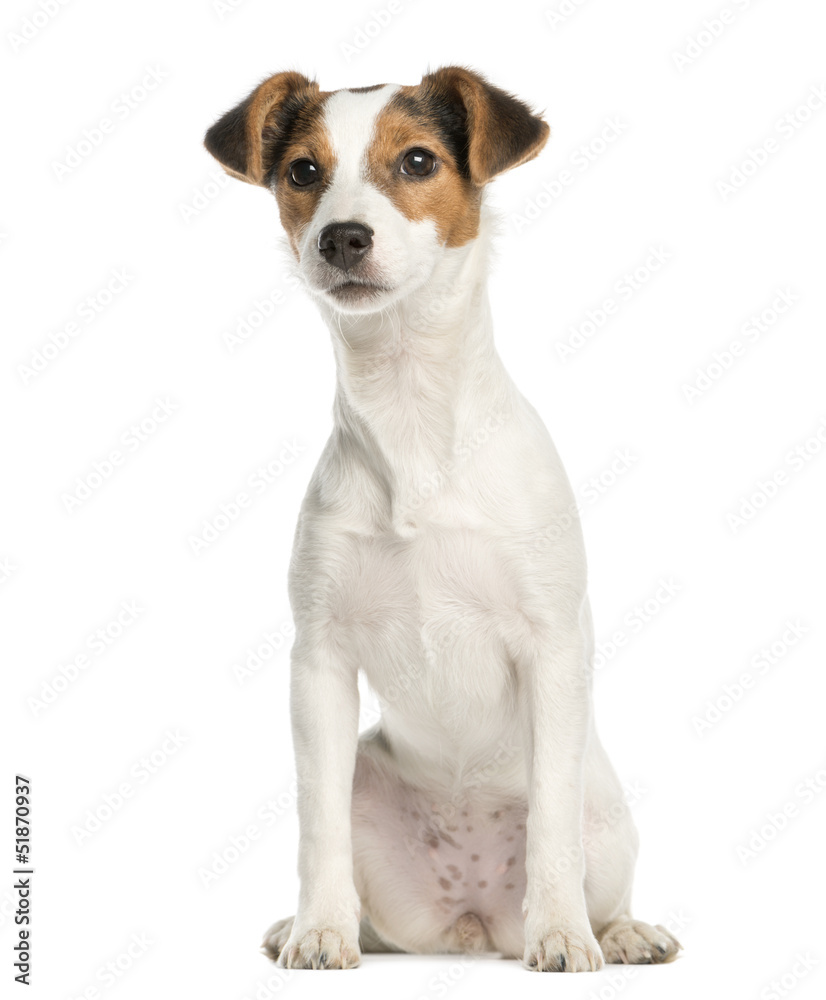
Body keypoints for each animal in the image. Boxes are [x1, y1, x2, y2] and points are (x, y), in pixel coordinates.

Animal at [203, 66, 680, 972]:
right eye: (303, 172)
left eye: (418, 160)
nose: (341, 239)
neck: (410, 413)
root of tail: (473, 920)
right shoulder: (319, 663)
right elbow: (315, 825)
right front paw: (318, 929)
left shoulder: (552, 649)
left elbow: (553, 826)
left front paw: (562, 934)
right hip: (365, 776)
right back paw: (317, 921)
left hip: (606, 817)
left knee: (596, 862)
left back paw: (619, 930)